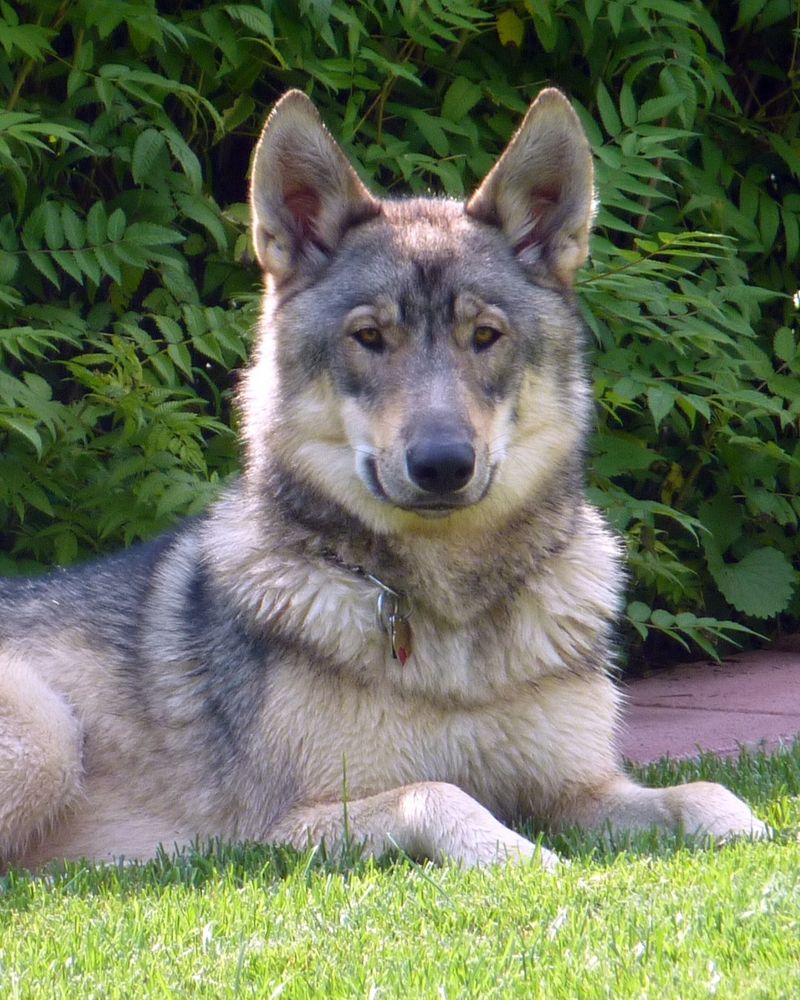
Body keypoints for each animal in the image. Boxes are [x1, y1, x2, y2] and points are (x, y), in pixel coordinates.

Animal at [0, 90, 764, 872]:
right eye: (369, 338)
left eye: (484, 337)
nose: (442, 465)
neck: (452, 622)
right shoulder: (270, 834)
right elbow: (438, 792)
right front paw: (529, 861)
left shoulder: (580, 789)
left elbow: (706, 793)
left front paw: (747, 835)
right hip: (49, 737)